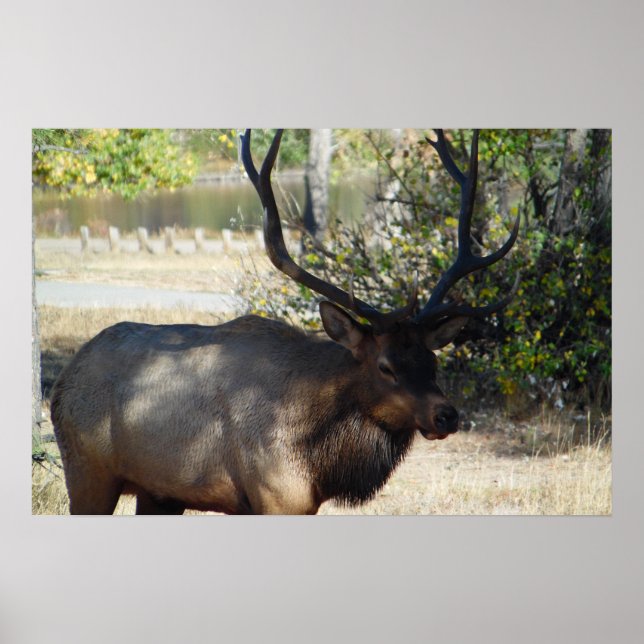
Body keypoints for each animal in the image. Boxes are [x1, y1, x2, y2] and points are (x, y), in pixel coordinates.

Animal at [50, 129, 519, 515]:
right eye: (385, 366)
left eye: (433, 361)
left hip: (159, 493)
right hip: (87, 471)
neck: (318, 459)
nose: (446, 416)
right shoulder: (275, 498)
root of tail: (63, 381)